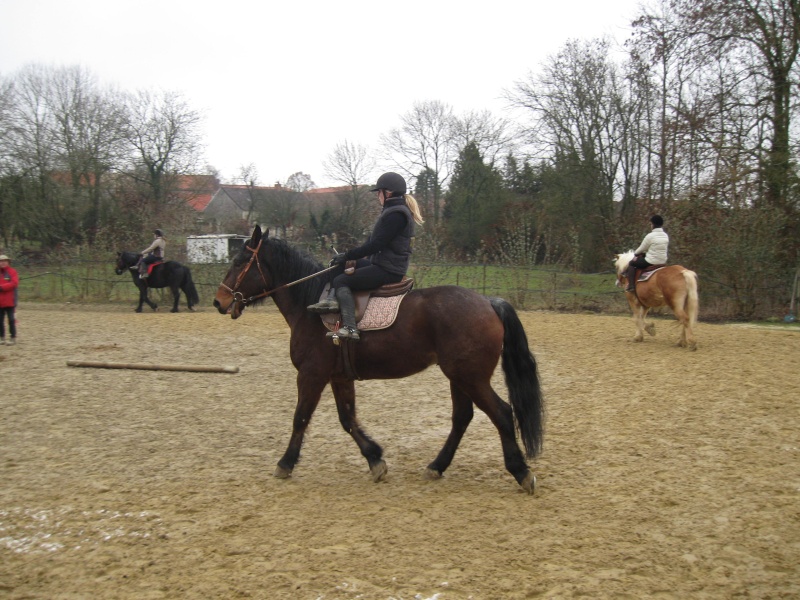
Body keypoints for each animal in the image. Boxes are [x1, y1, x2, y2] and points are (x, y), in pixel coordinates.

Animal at [216, 227, 548, 494]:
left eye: (239, 262)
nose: (219, 302)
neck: (309, 304)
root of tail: (489, 302)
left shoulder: (311, 374)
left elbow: (301, 418)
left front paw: (285, 463)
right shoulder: (339, 376)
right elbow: (347, 419)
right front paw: (375, 458)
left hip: (470, 377)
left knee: (502, 413)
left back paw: (520, 471)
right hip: (459, 376)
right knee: (462, 417)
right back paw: (437, 466)